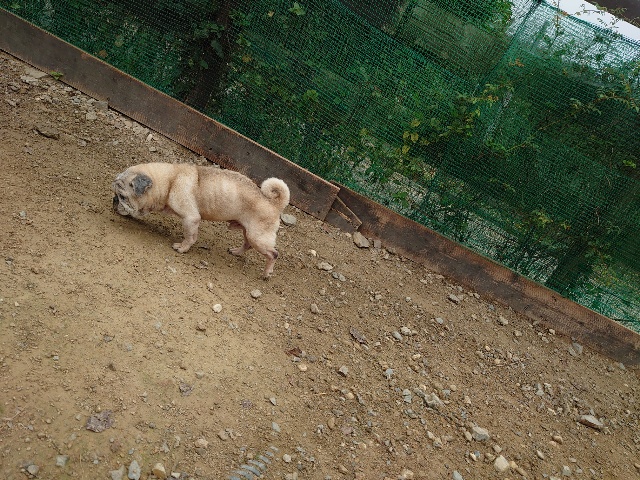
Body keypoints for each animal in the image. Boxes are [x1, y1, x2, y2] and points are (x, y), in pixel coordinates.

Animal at [112, 162, 290, 278]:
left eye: (122, 197)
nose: (114, 201)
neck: (170, 181)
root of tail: (275, 204)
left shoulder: (191, 219)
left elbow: (189, 237)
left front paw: (182, 248)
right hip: (248, 233)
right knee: (247, 244)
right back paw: (236, 252)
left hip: (258, 237)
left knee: (273, 254)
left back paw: (267, 273)